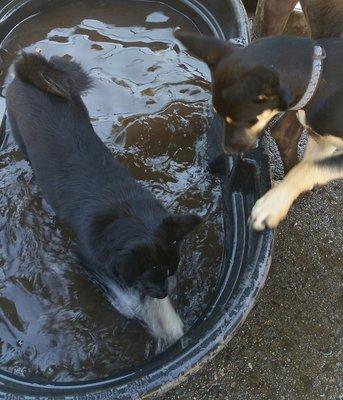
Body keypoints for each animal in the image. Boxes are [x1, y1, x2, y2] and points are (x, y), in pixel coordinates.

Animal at [5, 53, 202, 350]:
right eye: (151, 276)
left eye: (170, 271)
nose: (162, 293)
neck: (126, 213)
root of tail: (26, 71)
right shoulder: (87, 258)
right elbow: (119, 291)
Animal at [176, 32, 343, 228]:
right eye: (218, 114)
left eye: (247, 121)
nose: (227, 151)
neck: (319, 77)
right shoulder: (320, 137)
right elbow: (306, 166)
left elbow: (308, 168)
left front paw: (272, 204)